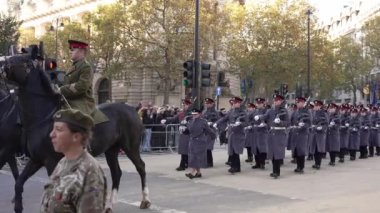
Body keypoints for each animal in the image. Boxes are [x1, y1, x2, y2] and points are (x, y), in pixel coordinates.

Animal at [4, 64, 151, 212]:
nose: (3, 68)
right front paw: (18, 205)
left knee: (141, 167)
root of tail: (131, 109)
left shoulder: (51, 161)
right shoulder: (36, 159)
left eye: (18, 62)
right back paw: (109, 206)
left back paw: (145, 200)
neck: (43, 119)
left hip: (130, 146)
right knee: (116, 172)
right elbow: (19, 182)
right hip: (111, 149)